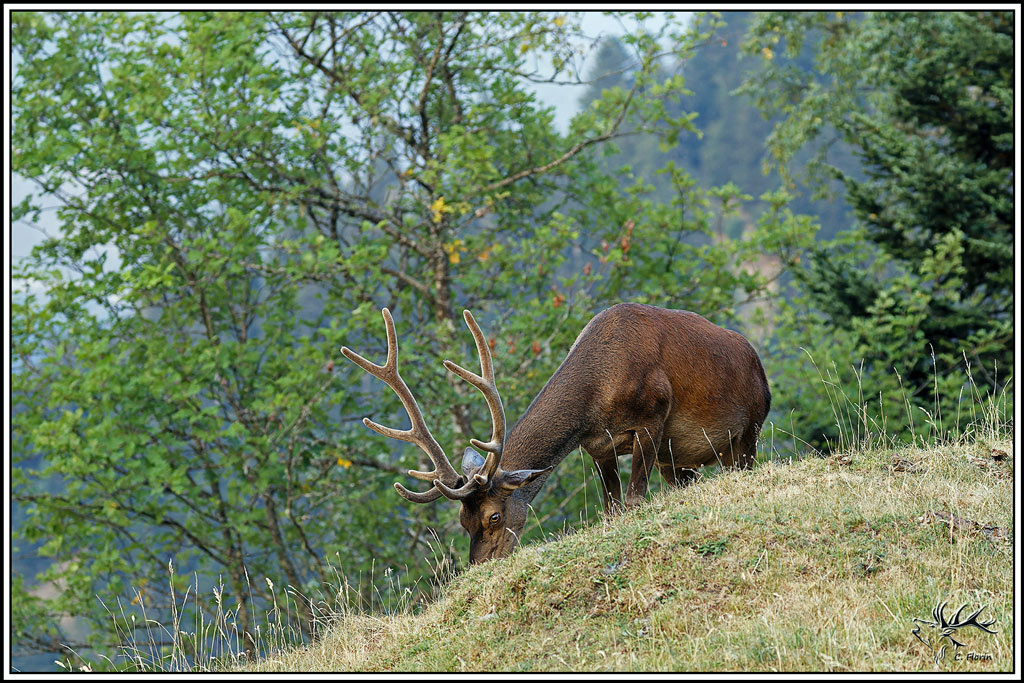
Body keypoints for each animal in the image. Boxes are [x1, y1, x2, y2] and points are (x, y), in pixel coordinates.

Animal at [341, 302, 771, 565]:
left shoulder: (654, 416)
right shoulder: (598, 446)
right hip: (680, 459)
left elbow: (634, 500)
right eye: (463, 522)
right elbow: (611, 508)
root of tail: (757, 362)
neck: (598, 392)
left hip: (749, 429)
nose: (479, 566)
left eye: (494, 516)